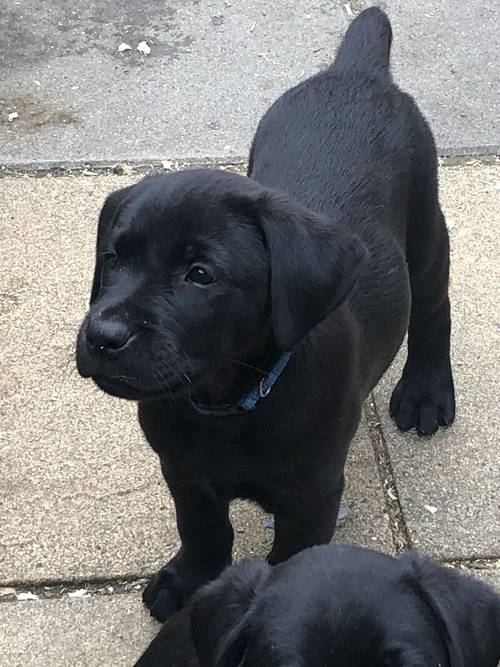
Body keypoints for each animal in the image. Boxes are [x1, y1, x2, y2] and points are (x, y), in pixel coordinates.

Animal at [76, 7, 456, 624]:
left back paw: (426, 390)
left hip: (425, 224)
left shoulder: (312, 496)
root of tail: (357, 72)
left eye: (200, 275)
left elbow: (290, 565)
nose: (103, 335)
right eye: (113, 258)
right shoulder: (185, 472)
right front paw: (189, 581)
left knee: (432, 306)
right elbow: (203, 530)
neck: (229, 402)